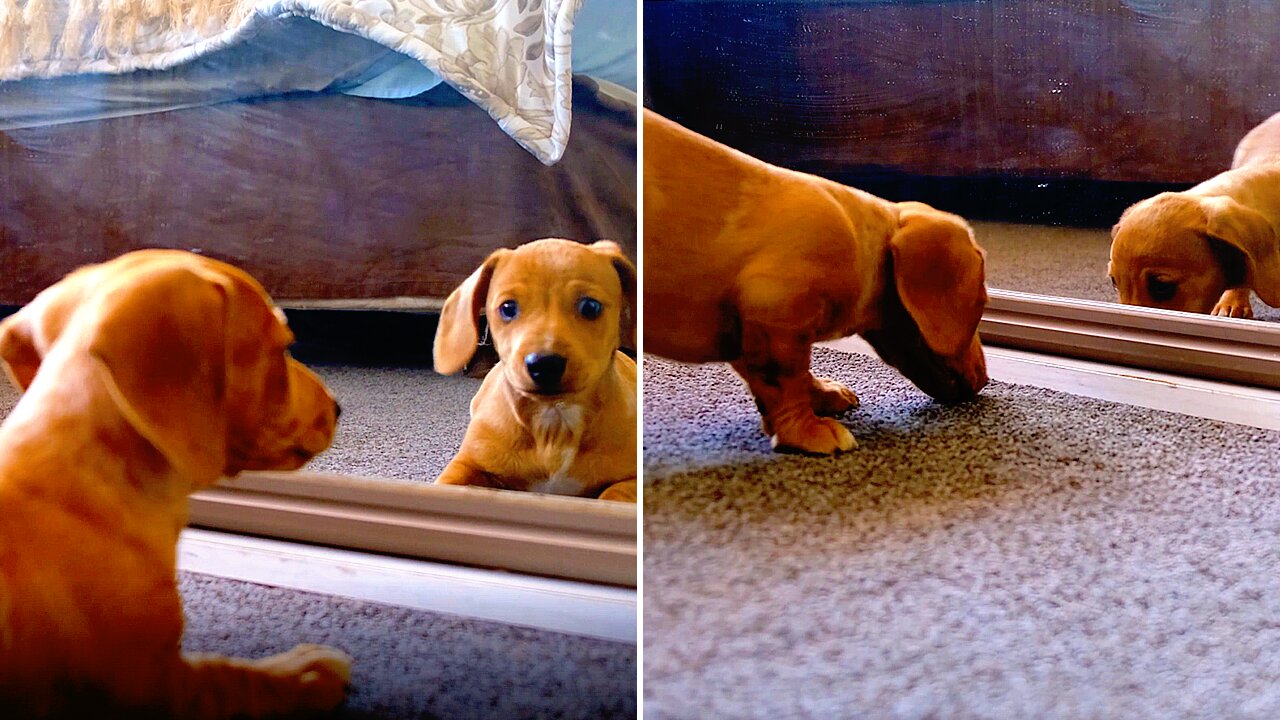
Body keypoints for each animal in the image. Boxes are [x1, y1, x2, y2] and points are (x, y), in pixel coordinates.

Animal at [432, 238, 637, 502]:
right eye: (508, 307)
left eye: (590, 306)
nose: (545, 364)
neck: (554, 424)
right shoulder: (466, 465)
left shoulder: (631, 479)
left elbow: (615, 493)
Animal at [640, 108, 988, 450]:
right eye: (980, 305)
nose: (985, 381)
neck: (863, 246)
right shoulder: (776, 315)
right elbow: (789, 382)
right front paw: (808, 431)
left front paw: (822, 395)